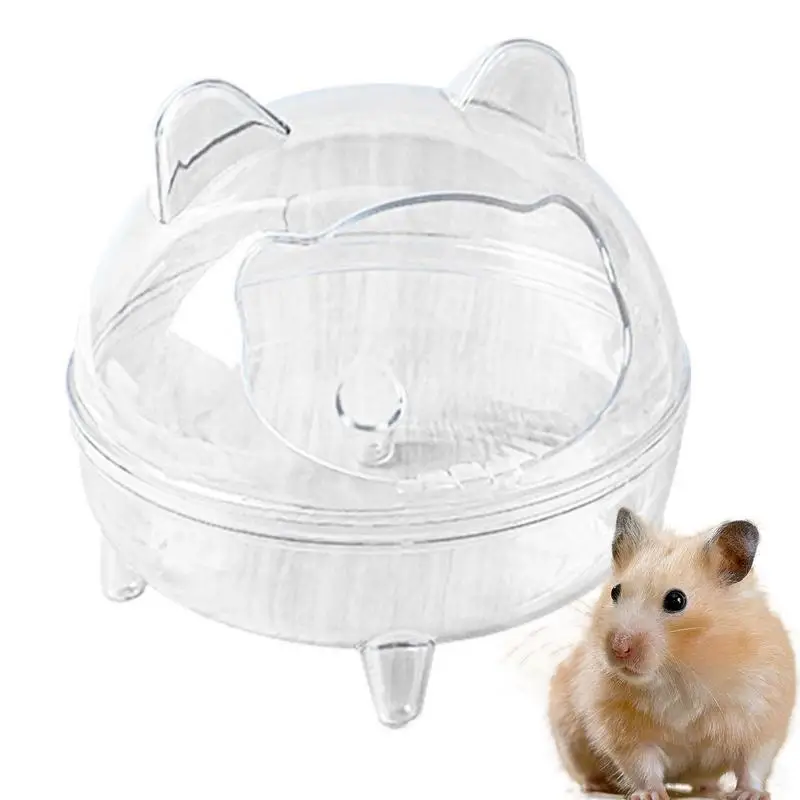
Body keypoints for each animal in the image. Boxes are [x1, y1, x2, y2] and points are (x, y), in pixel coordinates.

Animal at [548, 508, 796, 800]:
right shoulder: (623, 729)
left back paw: (710, 790)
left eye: (676, 600)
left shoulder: (761, 715)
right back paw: (598, 786)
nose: (618, 648)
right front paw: (651, 795)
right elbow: (642, 765)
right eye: (615, 591)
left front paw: (748, 794)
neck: (680, 669)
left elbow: (754, 763)